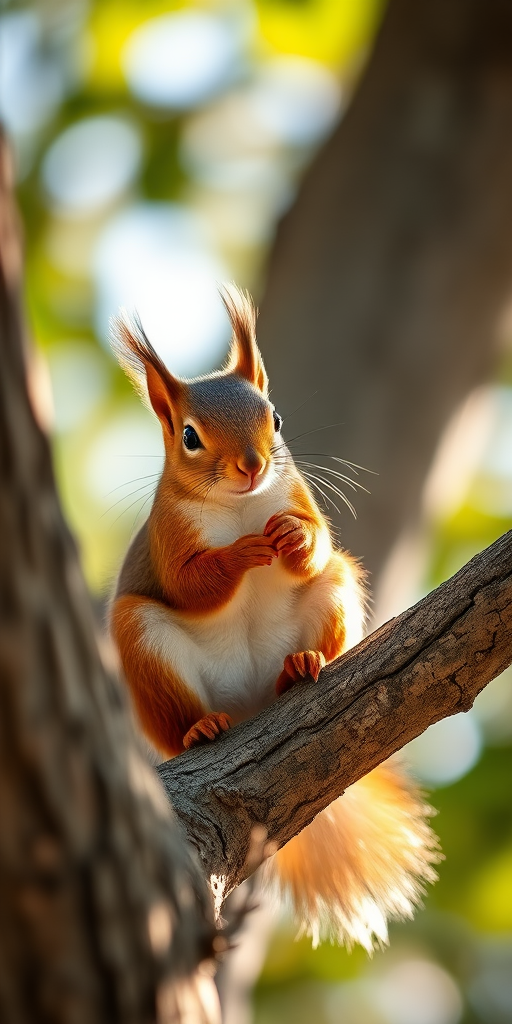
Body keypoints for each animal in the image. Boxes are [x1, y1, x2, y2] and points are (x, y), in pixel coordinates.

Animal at [110, 284, 439, 951]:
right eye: (189, 437)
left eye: (276, 418)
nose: (254, 466)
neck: (241, 508)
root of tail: (250, 708)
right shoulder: (168, 538)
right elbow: (192, 585)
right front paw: (239, 556)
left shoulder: (298, 497)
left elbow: (315, 540)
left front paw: (291, 538)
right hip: (142, 643)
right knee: (180, 718)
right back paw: (201, 729)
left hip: (335, 588)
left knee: (322, 593)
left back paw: (301, 667)